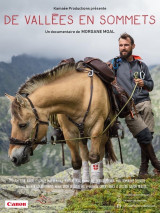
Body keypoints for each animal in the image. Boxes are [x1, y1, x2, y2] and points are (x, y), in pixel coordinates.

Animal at [5, 60, 117, 191]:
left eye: (22, 125)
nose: (13, 158)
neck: (79, 95)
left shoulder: (97, 128)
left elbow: (94, 157)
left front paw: (95, 189)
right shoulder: (69, 134)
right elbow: (76, 162)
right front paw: (77, 191)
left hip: (103, 132)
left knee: (100, 153)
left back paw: (98, 181)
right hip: (82, 135)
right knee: (85, 155)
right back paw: (86, 183)